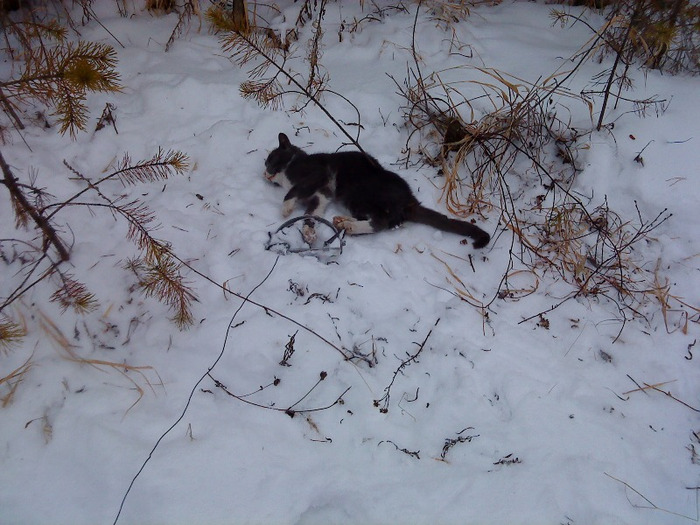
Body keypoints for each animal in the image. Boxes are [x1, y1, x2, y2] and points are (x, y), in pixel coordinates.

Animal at [266, 134, 490, 251]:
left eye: (269, 160)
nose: (265, 173)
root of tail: (410, 200)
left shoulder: (317, 175)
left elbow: (294, 190)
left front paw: (286, 208)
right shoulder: (322, 195)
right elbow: (311, 213)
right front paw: (309, 233)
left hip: (360, 194)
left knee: (383, 221)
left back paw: (350, 225)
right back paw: (342, 221)